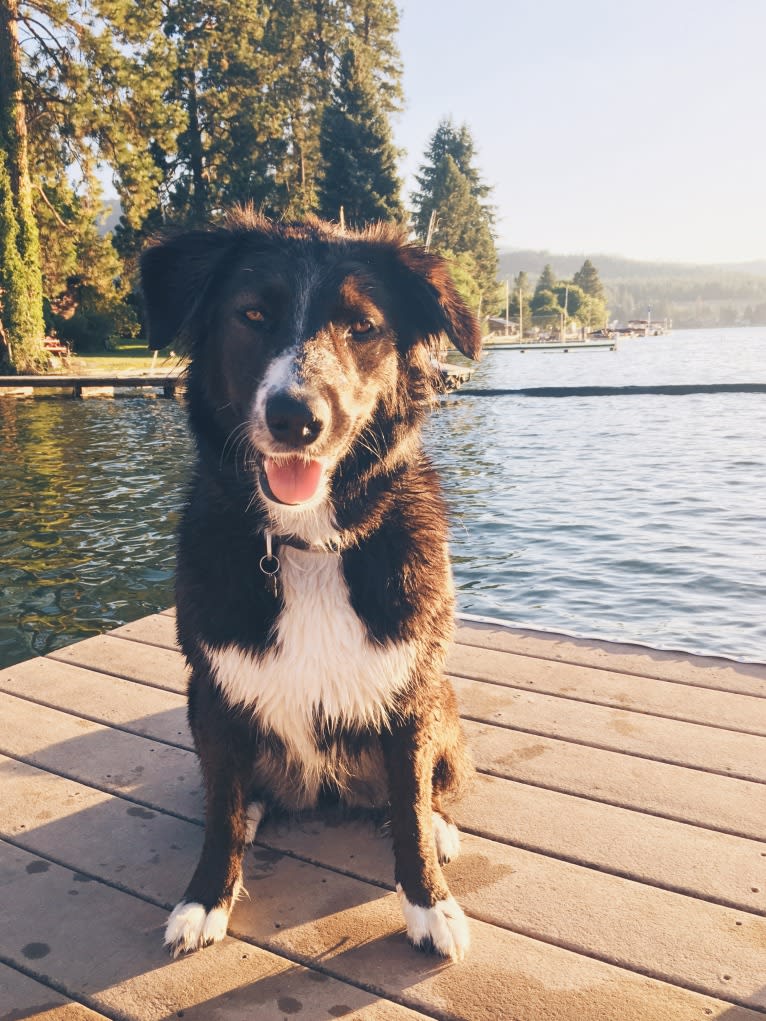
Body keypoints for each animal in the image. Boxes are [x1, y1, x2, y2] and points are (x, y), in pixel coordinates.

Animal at [140, 211, 482, 959]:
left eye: (362, 326)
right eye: (252, 314)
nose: (296, 418)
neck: (307, 543)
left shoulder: (411, 693)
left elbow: (410, 807)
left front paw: (430, 903)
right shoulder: (213, 690)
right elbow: (220, 807)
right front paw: (207, 896)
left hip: (445, 702)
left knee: (427, 793)